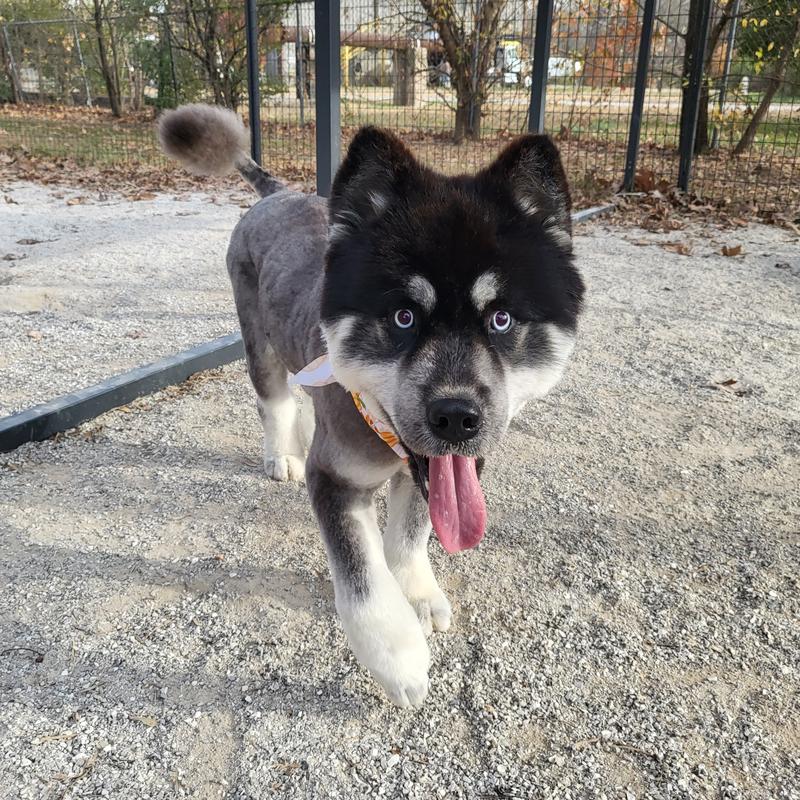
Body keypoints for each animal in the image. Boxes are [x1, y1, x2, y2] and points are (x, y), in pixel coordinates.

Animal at [159, 105, 584, 707]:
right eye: (403, 317)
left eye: (501, 319)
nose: (457, 418)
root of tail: (278, 193)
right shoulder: (335, 479)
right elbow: (360, 573)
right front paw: (398, 659)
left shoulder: (425, 472)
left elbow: (408, 537)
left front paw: (418, 593)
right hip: (258, 342)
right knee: (275, 400)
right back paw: (281, 452)